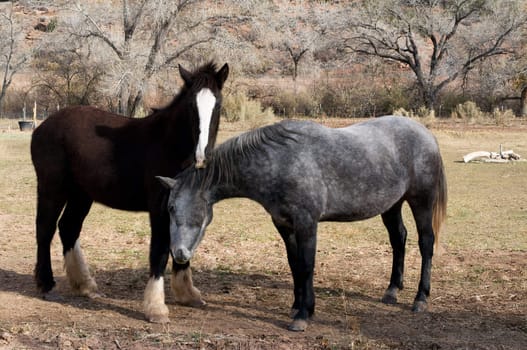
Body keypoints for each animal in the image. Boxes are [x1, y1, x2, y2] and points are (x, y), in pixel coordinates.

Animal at [159, 117, 448, 330]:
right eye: (170, 208)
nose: (179, 253)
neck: (279, 162)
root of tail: (426, 134)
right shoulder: (284, 225)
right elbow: (295, 265)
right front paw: (298, 306)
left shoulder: (307, 223)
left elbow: (307, 264)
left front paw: (303, 316)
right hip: (392, 206)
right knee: (399, 239)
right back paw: (392, 291)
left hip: (421, 201)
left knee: (426, 243)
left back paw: (420, 298)